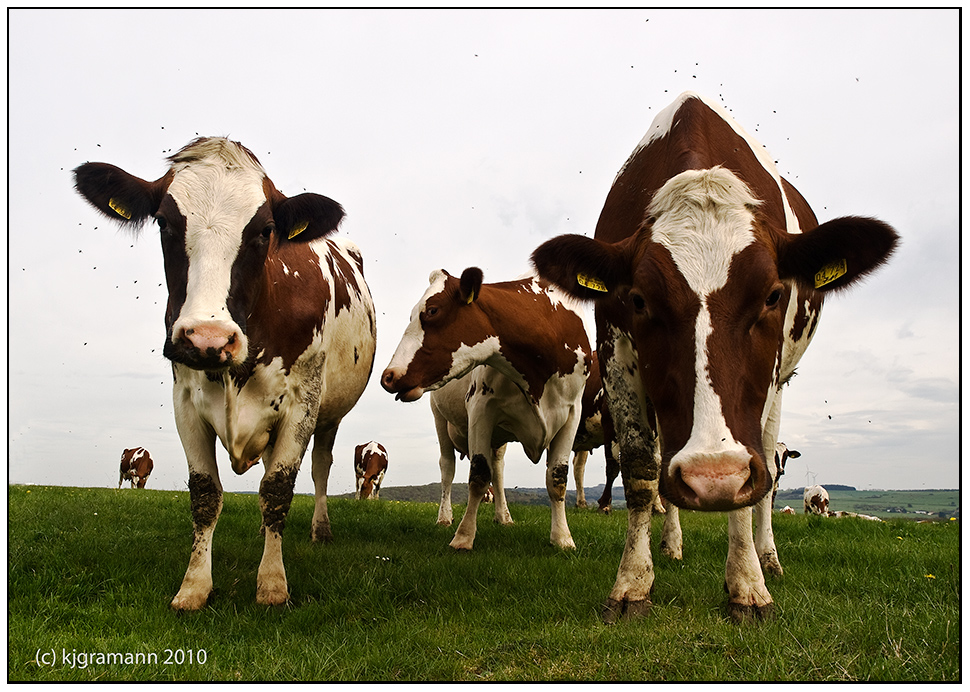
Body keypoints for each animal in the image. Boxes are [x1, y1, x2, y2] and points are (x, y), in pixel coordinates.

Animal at [73, 137, 376, 612]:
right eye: (163, 222)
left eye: (265, 230)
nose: (208, 338)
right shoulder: (184, 400)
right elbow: (205, 494)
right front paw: (194, 586)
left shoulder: (302, 403)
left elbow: (278, 489)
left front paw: (272, 585)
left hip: (329, 414)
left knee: (319, 468)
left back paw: (319, 529)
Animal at [378, 268, 588, 548]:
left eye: (432, 310)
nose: (388, 376)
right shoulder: (480, 409)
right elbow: (478, 477)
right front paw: (463, 537)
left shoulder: (572, 413)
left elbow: (557, 479)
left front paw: (563, 538)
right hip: (439, 418)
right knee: (447, 468)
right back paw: (445, 517)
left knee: (497, 470)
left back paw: (504, 516)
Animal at [524, 90, 896, 620]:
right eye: (639, 299)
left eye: (773, 294)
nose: (711, 478)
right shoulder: (615, 348)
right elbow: (642, 469)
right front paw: (632, 583)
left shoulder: (765, 385)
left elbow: (754, 476)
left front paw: (747, 585)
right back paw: (672, 543)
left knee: (765, 472)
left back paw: (767, 558)